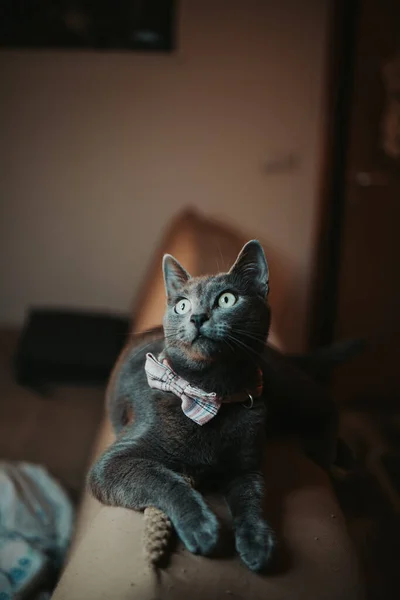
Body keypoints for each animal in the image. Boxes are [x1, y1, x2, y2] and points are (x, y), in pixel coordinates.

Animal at [90, 240, 338, 572]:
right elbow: (165, 479)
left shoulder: (246, 467)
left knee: (327, 403)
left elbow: (252, 498)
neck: (212, 392)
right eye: (182, 305)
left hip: (288, 390)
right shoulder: (112, 463)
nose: (197, 317)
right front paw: (202, 528)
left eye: (227, 299)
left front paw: (257, 543)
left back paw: (328, 455)